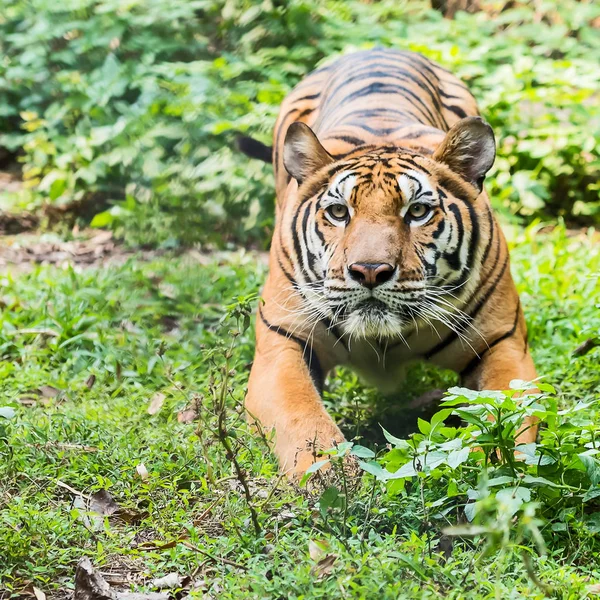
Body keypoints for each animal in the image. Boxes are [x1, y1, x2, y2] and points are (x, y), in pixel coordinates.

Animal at [241, 49, 536, 478]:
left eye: (417, 211)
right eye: (338, 212)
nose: (369, 271)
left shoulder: (502, 342)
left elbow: (507, 414)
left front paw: (495, 467)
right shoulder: (283, 344)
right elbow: (303, 416)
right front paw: (330, 478)